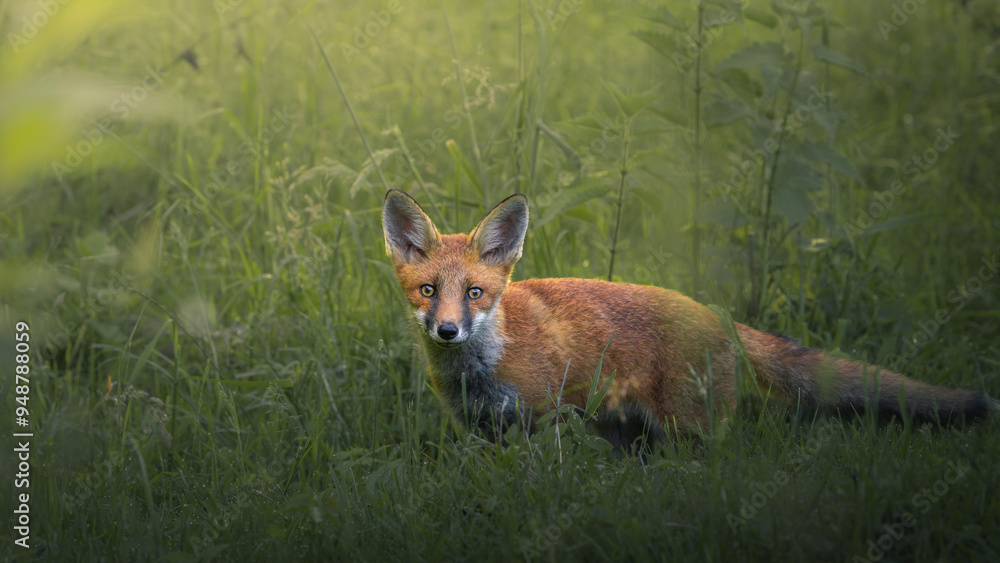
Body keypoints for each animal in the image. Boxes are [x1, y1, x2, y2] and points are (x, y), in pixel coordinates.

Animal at [382, 188, 996, 446]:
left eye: (476, 293)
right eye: (428, 291)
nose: (448, 330)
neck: (478, 370)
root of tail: (719, 317)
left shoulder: (543, 417)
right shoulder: (482, 428)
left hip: (687, 430)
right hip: (629, 433)